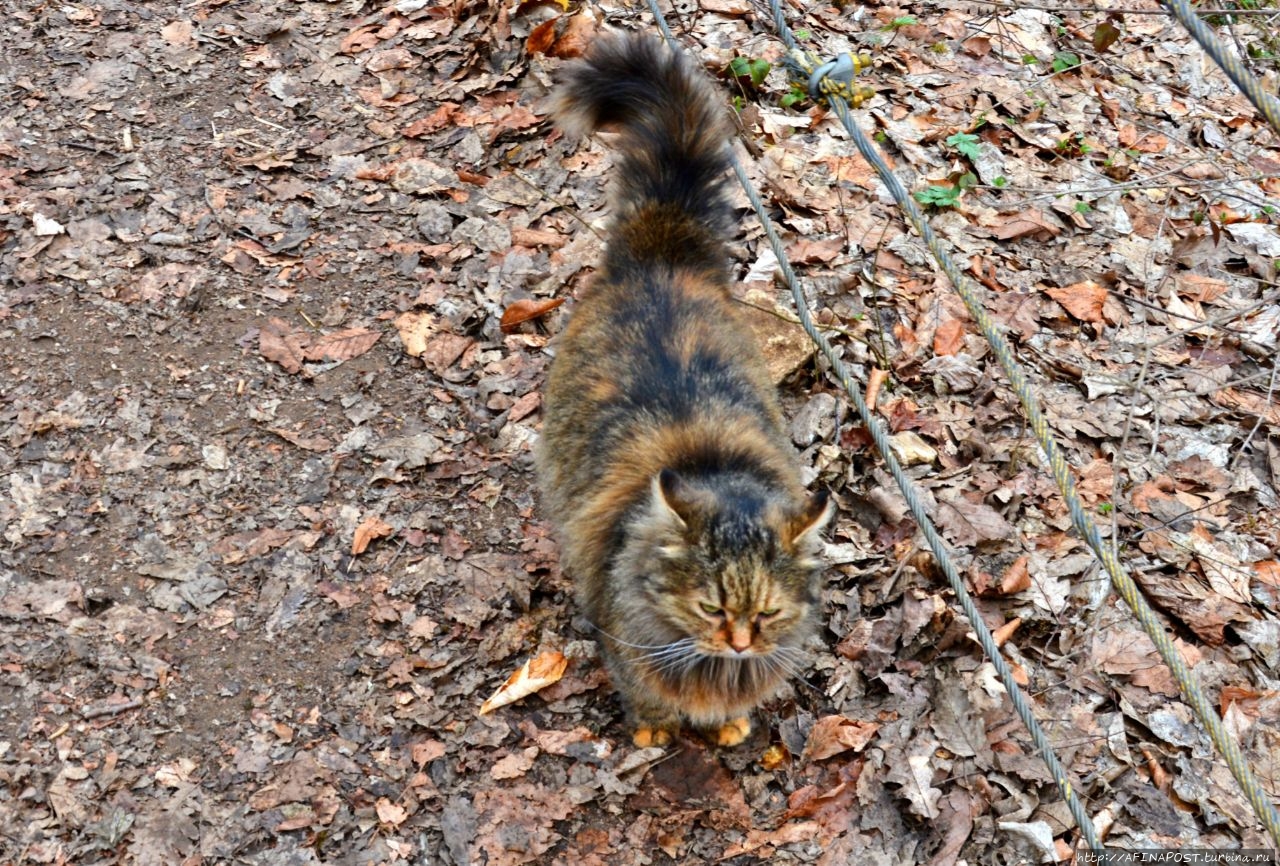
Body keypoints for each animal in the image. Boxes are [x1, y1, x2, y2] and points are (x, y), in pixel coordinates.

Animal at [537, 37, 829, 747]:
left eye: (767, 614)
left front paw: (731, 725)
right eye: (711, 608)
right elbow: (646, 693)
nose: (741, 644)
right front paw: (657, 732)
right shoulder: (624, 638)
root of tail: (662, 252)